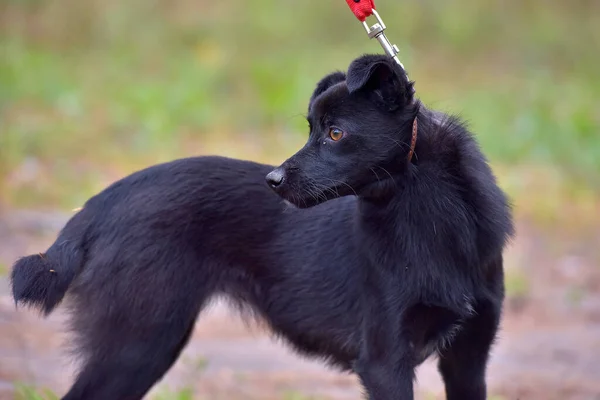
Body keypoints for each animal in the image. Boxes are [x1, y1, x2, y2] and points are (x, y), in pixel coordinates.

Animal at [9, 54, 512, 400]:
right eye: (311, 128)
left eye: (335, 133)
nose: (272, 180)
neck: (430, 219)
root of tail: (102, 201)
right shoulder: (385, 361)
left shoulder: (468, 359)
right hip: (138, 340)